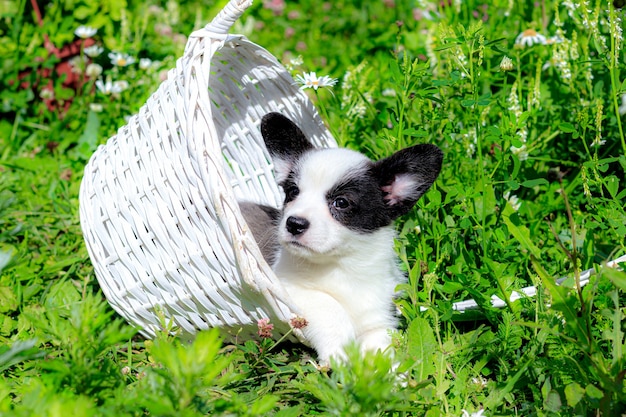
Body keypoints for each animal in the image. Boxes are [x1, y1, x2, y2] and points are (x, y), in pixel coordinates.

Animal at [238, 112, 438, 362]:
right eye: (293, 192)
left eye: (341, 203)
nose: (294, 224)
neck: (343, 264)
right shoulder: (284, 286)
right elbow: (330, 306)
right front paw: (340, 354)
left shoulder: (378, 318)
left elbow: (380, 347)